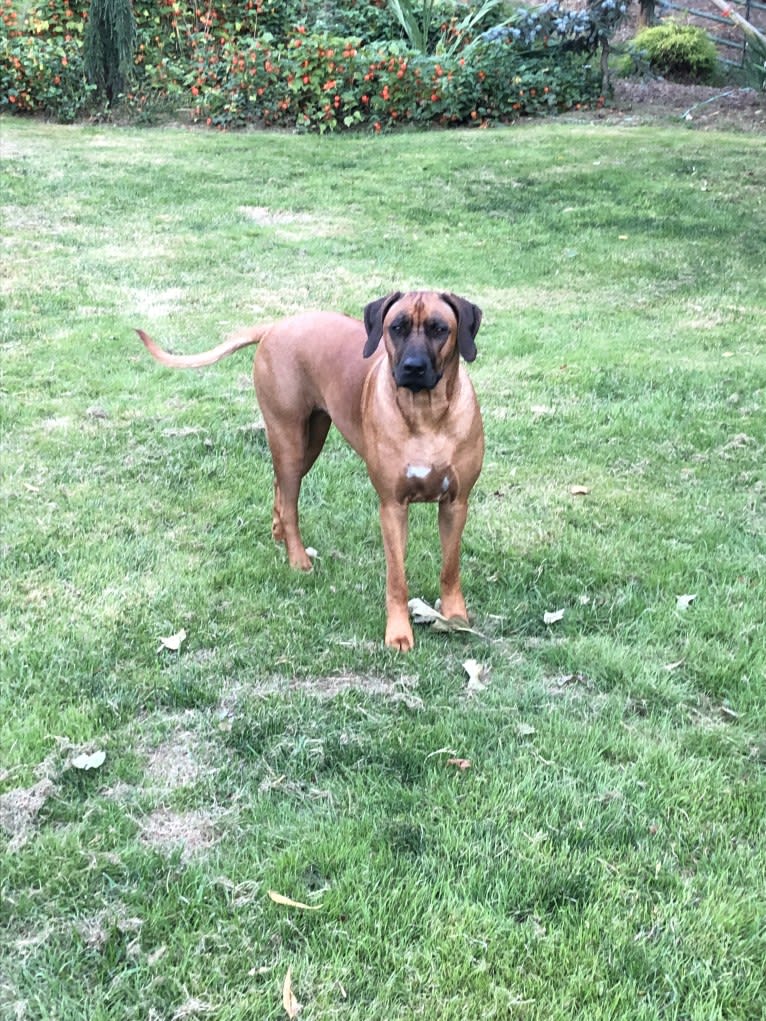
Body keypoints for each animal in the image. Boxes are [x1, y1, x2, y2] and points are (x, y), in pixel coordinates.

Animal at [137, 292, 482, 649]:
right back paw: (297, 556)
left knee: (278, 483)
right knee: (289, 501)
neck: (425, 414)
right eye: (396, 327)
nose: (413, 367)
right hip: (288, 436)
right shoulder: (392, 507)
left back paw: (278, 531)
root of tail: (275, 326)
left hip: (311, 439)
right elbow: (397, 578)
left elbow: (450, 566)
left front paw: (455, 617)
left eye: (439, 329)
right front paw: (399, 633)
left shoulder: (456, 504)